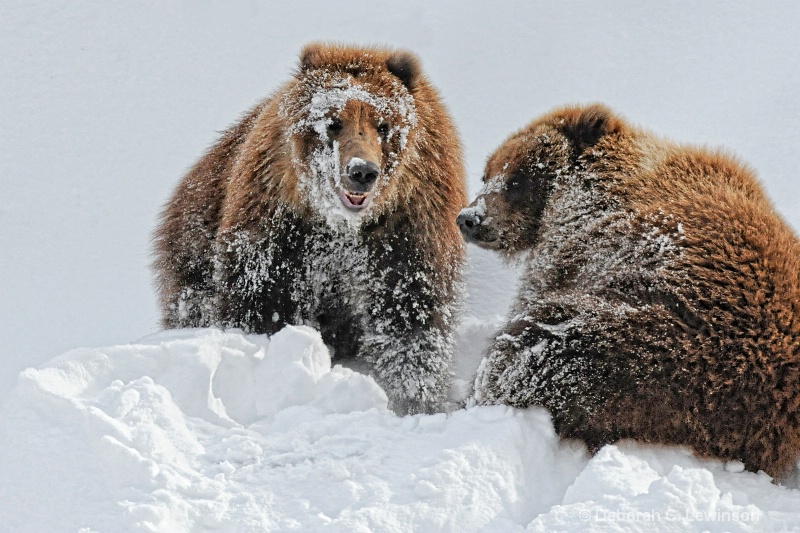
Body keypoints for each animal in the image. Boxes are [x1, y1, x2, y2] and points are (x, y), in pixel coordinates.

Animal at [155, 43, 468, 414]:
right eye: (333, 122)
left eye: (384, 124)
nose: (362, 171)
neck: (342, 227)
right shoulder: (281, 225)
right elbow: (267, 301)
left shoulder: (408, 225)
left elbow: (410, 313)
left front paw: (416, 399)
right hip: (196, 230)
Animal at [460, 104, 800, 478]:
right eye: (486, 174)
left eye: (517, 179)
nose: (469, 218)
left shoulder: (572, 248)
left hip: (650, 346)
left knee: (528, 350)